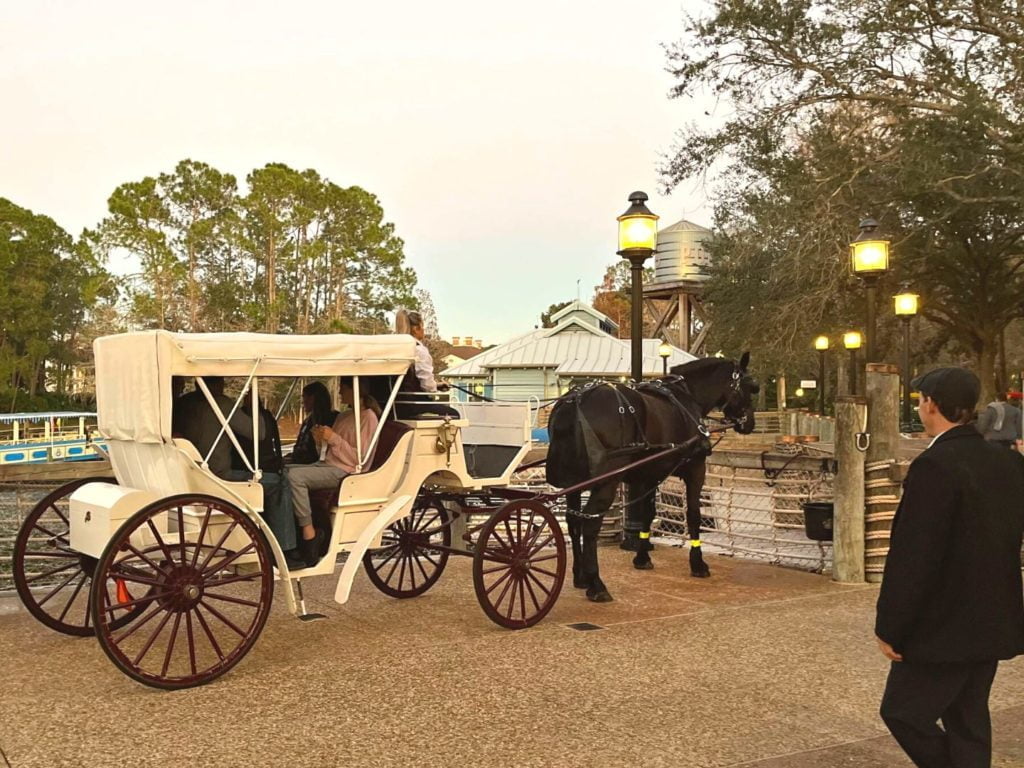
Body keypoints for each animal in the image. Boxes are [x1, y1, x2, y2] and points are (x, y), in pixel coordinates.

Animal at [544, 354, 761, 602]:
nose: (750, 423)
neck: (688, 397)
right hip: (606, 482)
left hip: (574, 483)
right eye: (750, 386)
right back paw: (596, 584)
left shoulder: (649, 475)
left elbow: (647, 514)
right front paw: (698, 563)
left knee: (573, 522)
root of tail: (574, 401)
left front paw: (642, 556)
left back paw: (580, 576)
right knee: (590, 524)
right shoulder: (696, 469)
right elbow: (693, 515)